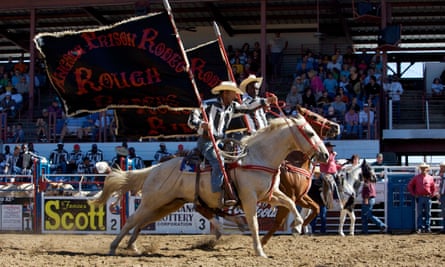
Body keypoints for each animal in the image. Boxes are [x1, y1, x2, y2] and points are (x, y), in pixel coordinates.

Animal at [88, 116, 328, 258]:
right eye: (311, 133)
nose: (325, 155)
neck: (259, 157)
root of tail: (155, 169)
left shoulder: (271, 195)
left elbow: (290, 204)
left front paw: (297, 226)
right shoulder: (250, 199)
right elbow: (254, 224)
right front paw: (260, 250)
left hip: (167, 205)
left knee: (141, 222)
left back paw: (132, 247)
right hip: (152, 201)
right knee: (131, 221)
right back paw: (114, 247)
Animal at [258, 106, 338, 245]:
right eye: (314, 116)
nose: (336, 126)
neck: (296, 163)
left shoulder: (300, 196)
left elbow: (315, 207)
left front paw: (300, 226)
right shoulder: (290, 196)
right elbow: (279, 221)